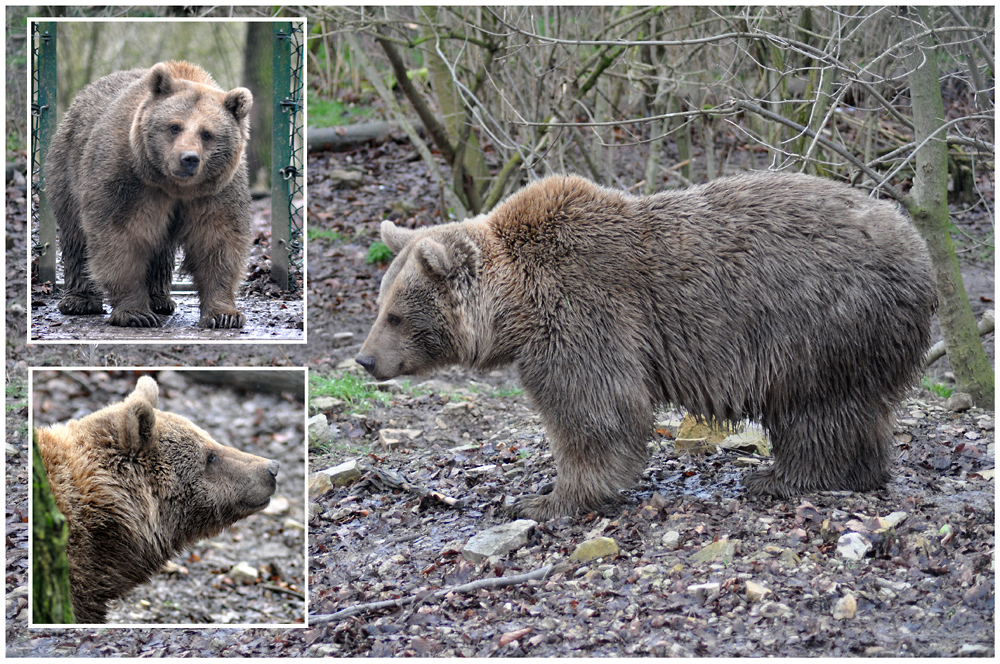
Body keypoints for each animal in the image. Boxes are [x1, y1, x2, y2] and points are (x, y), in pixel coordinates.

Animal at [48, 62, 256, 326]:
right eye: (174, 126)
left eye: (207, 133)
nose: (188, 158)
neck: (174, 186)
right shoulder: (128, 180)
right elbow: (121, 238)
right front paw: (135, 313)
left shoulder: (216, 191)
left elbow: (217, 243)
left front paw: (224, 314)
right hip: (68, 169)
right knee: (76, 238)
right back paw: (79, 300)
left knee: (160, 250)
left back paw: (159, 299)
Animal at [360, 171, 936, 520]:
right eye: (380, 302)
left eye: (395, 315)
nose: (365, 359)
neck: (517, 307)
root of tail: (917, 248)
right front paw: (545, 493)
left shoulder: (583, 317)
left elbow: (599, 412)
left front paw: (546, 499)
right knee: (858, 409)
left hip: (819, 319)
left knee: (813, 407)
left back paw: (781, 477)